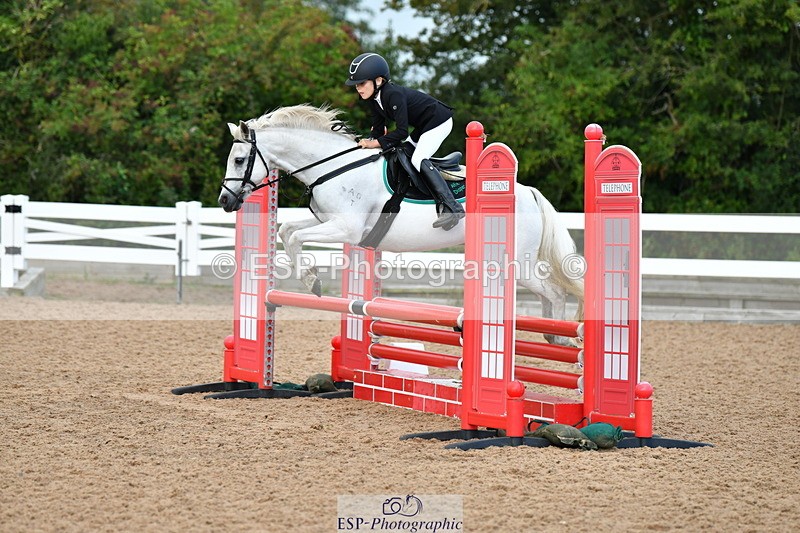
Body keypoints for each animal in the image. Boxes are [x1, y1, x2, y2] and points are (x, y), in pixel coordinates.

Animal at [218, 104, 584, 346]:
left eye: (239, 159)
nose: (225, 201)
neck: (332, 167)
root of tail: (529, 193)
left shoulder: (347, 229)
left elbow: (296, 238)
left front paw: (312, 282)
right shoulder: (330, 221)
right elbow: (286, 231)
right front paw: (310, 278)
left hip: (516, 262)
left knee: (555, 291)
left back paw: (562, 338)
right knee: (550, 294)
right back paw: (551, 334)